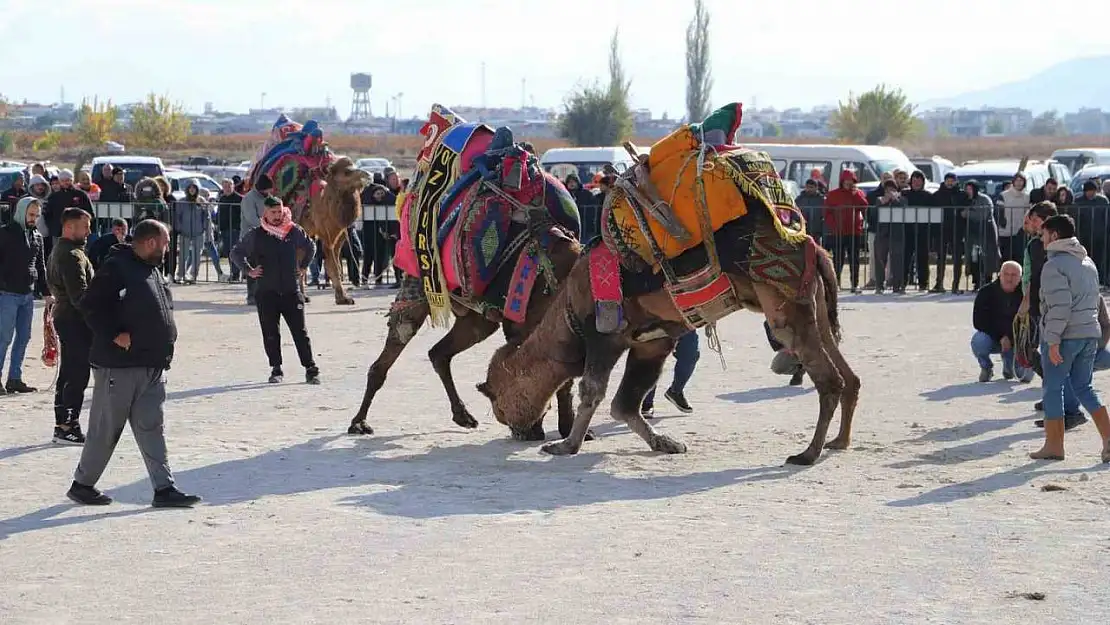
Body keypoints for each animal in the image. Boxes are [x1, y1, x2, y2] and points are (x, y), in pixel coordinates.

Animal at [299, 155, 368, 304]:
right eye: (347, 172)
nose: (367, 175)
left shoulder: (339, 234)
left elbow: (335, 265)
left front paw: (342, 297)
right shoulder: (325, 234)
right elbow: (333, 266)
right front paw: (342, 298)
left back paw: (304, 296)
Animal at [477, 207, 856, 466]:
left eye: (498, 402)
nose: (516, 430)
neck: (569, 308)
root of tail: (814, 247)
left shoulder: (604, 336)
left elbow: (593, 392)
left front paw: (565, 446)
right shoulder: (652, 342)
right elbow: (624, 404)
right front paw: (666, 443)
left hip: (785, 308)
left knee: (829, 379)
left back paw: (807, 453)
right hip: (816, 307)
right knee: (848, 375)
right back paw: (838, 442)